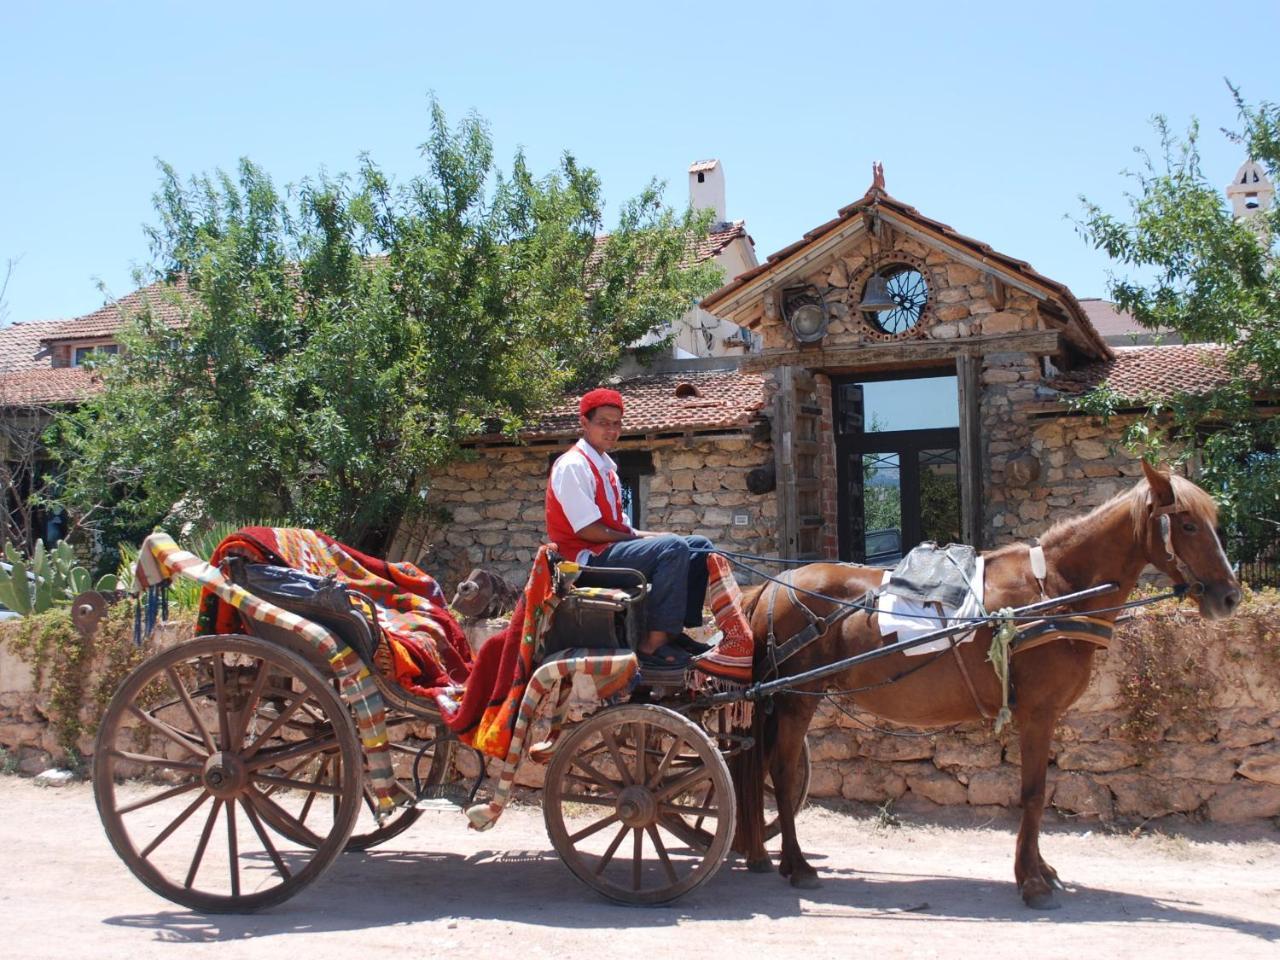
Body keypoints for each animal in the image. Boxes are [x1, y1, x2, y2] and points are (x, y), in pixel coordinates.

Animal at [732, 463, 1239, 911]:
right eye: (1188, 524)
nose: (1230, 596)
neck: (1055, 591)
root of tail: (774, 586)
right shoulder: (1037, 713)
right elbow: (1033, 793)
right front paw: (1032, 881)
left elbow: (1039, 792)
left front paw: (1039, 869)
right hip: (795, 699)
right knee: (783, 771)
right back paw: (798, 865)